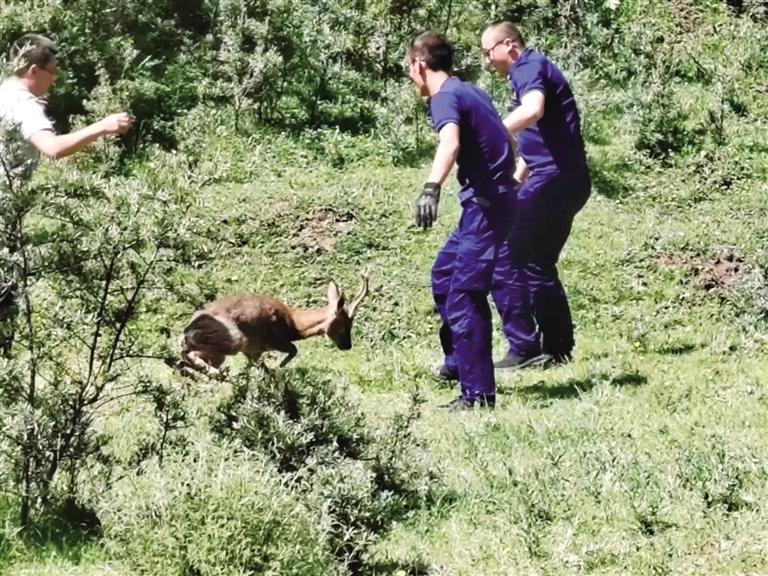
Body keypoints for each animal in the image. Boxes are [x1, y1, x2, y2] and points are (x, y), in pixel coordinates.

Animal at [178, 274, 368, 378]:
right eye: (345, 326)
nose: (347, 346)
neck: (294, 323)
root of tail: (187, 331)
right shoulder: (274, 339)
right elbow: (294, 350)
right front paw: (279, 367)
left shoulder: (253, 351)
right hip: (234, 339)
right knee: (188, 354)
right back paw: (217, 373)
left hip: (220, 351)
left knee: (186, 358)